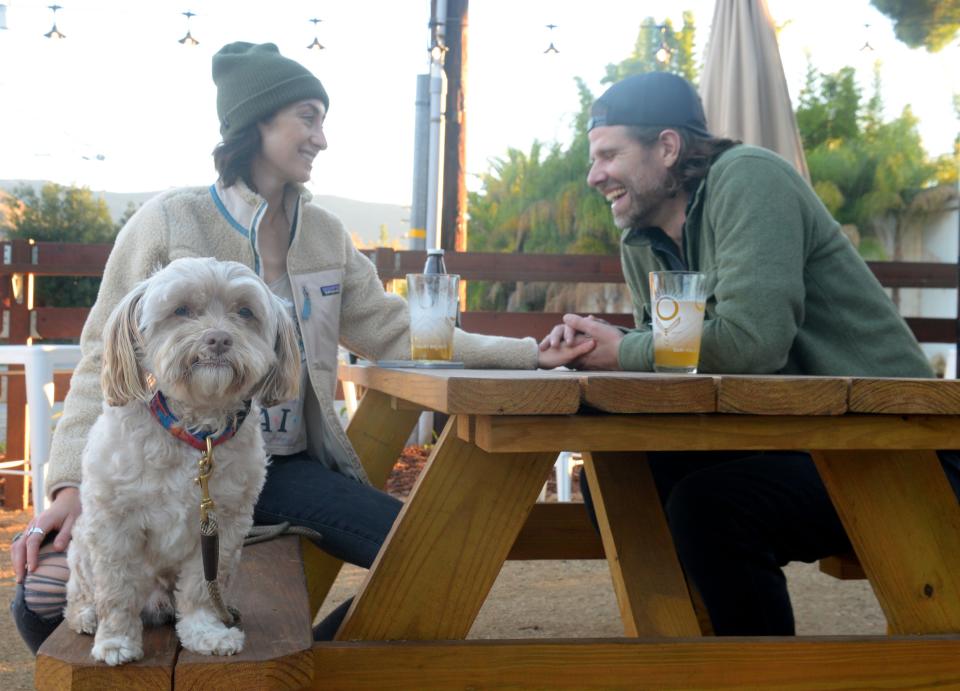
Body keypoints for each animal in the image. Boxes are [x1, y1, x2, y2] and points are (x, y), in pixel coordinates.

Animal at [63, 258, 300, 664]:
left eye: (245, 312)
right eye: (182, 310)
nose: (218, 338)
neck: (196, 434)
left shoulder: (223, 527)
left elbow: (201, 588)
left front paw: (206, 633)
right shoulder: (115, 525)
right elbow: (117, 591)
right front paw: (116, 641)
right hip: (81, 547)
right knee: (82, 591)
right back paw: (86, 614)